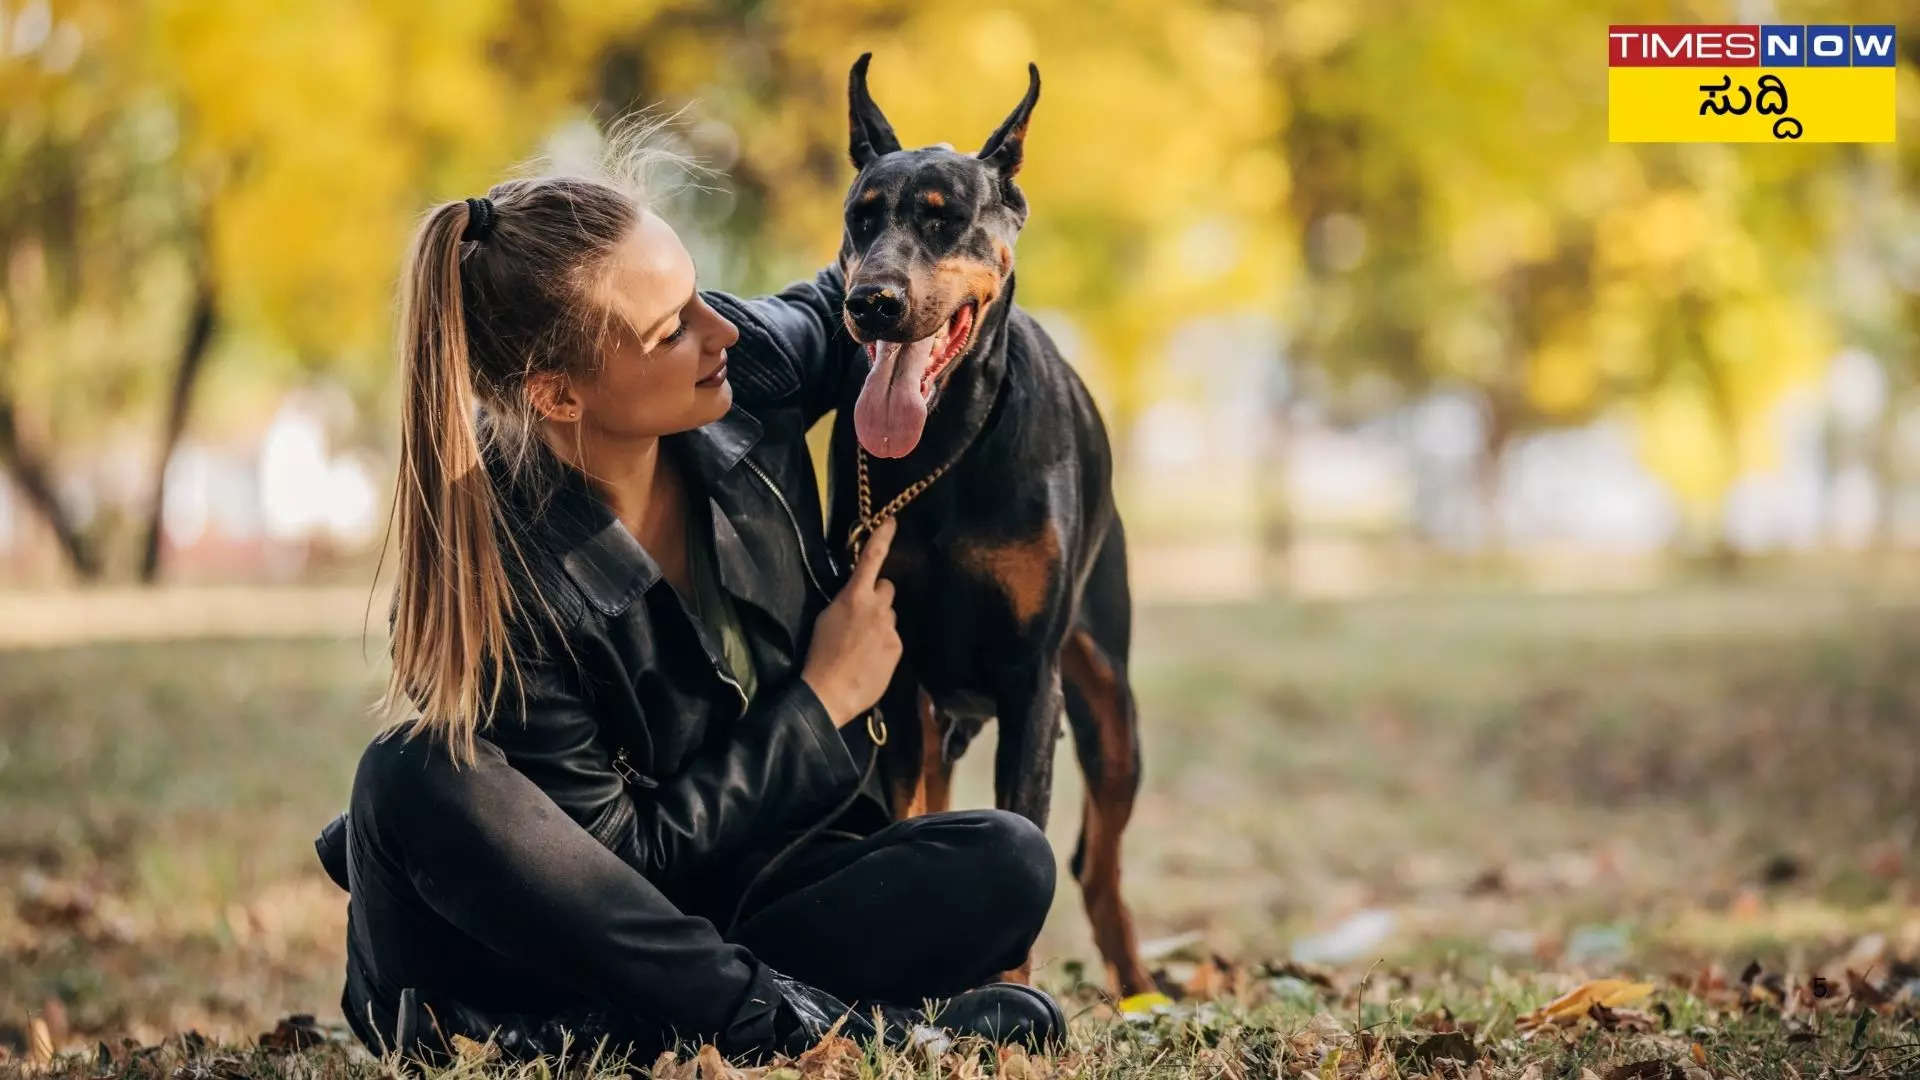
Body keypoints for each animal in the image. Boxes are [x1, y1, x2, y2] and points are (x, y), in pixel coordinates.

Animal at [829, 50, 1152, 991]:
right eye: (861, 218)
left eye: (944, 220)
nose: (873, 301)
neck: (947, 448)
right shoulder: (893, 671)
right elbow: (906, 824)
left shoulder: (1029, 680)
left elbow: (1028, 845)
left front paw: (1011, 997)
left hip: (1110, 701)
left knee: (1096, 865)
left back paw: (1142, 994)